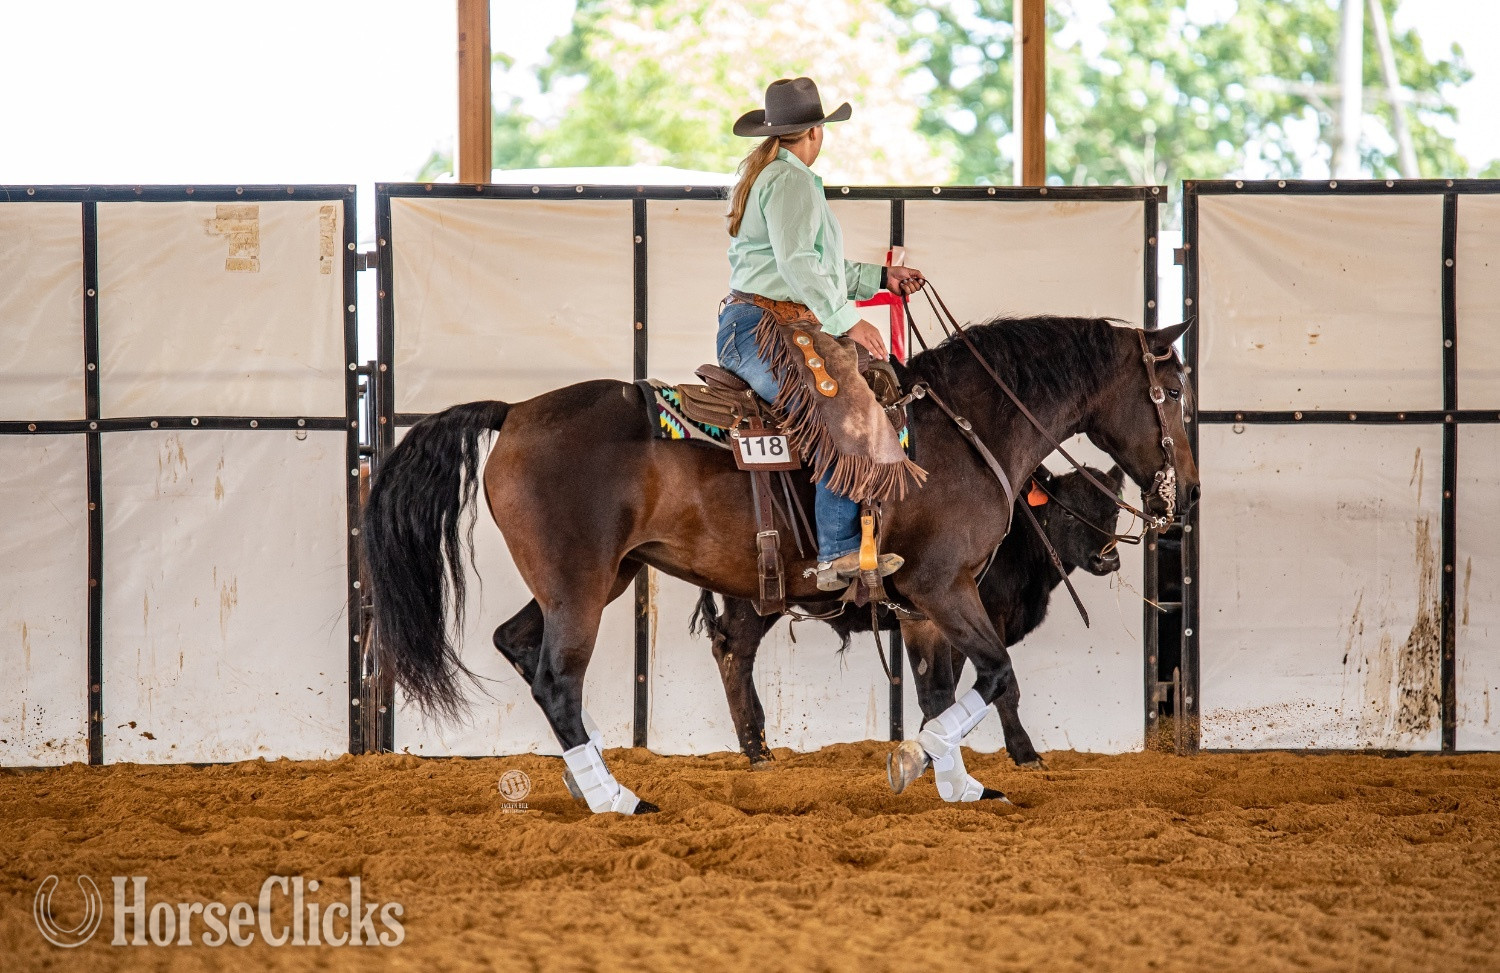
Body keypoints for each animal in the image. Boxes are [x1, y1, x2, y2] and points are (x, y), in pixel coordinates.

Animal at [687, 463, 1128, 771]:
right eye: (1068, 514)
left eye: (1112, 513)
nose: (1107, 559)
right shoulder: (977, 616)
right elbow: (1002, 688)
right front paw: (1025, 753)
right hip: (751, 603)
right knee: (735, 654)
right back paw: (757, 751)